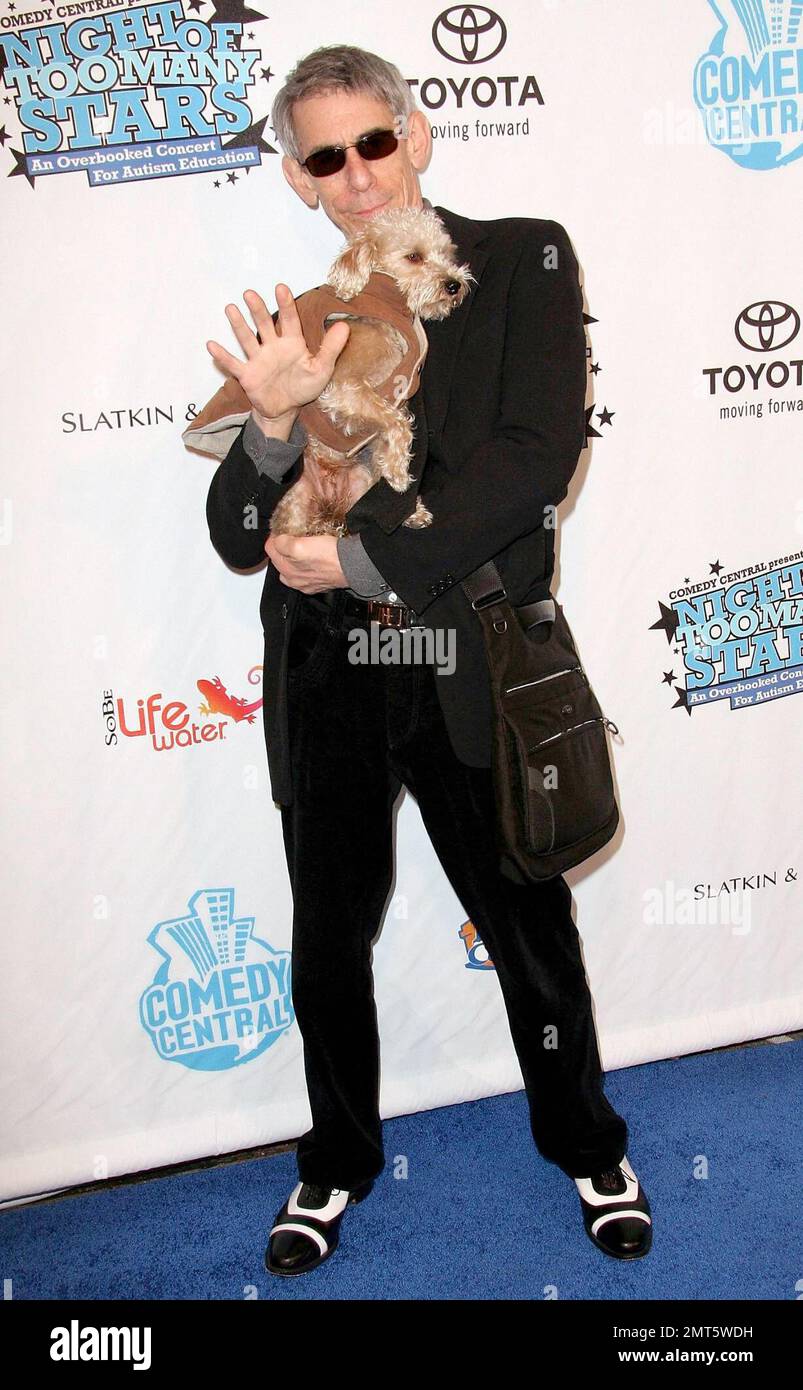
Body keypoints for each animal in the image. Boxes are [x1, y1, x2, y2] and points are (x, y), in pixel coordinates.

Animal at [265, 205, 472, 536]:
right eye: (414, 256)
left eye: (447, 253)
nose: (454, 284)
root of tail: (329, 509)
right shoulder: (344, 389)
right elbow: (398, 423)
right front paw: (399, 474)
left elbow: (389, 438)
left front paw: (400, 485)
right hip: (296, 504)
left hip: (358, 484)